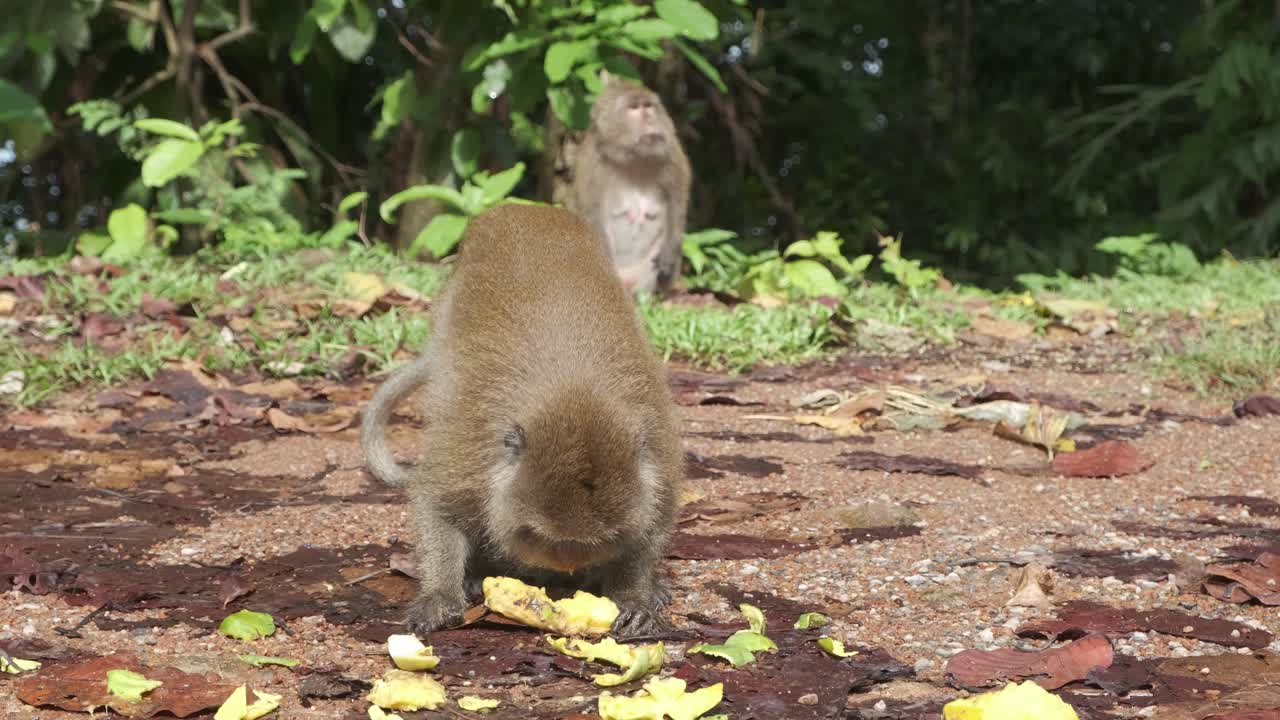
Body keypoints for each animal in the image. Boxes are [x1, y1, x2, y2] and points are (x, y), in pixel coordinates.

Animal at [360, 203, 682, 638]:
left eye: (601, 539)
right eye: (538, 536)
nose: (568, 567)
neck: (576, 396)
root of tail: (525, 208)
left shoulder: (657, 454)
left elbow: (654, 519)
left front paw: (634, 598)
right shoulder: (472, 453)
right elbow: (436, 501)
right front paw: (441, 594)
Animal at [566, 72, 691, 296]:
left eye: (648, 106)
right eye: (634, 108)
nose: (649, 117)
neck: (633, 157)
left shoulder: (672, 153)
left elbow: (678, 200)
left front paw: (670, 251)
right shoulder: (590, 162)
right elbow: (588, 211)